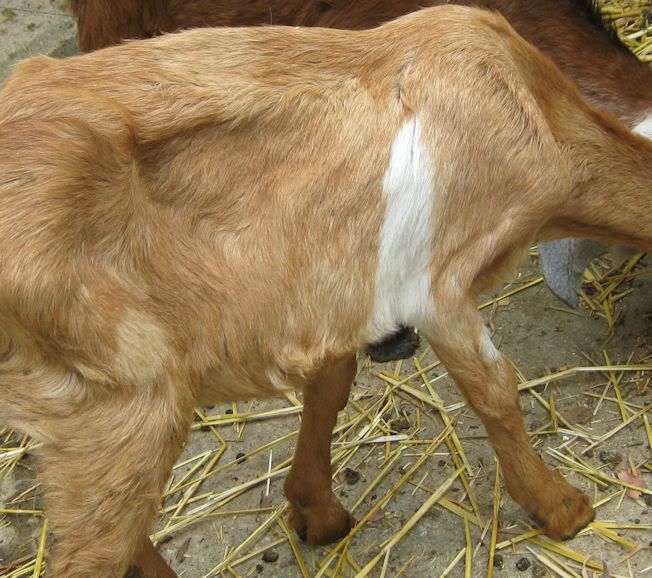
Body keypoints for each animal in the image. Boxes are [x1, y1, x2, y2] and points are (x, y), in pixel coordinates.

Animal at [2, 5, 651, 576]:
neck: (532, 109)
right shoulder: (437, 285)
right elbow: (497, 391)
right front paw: (563, 508)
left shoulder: (341, 292)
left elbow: (330, 386)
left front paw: (317, 510)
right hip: (121, 405)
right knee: (95, 552)